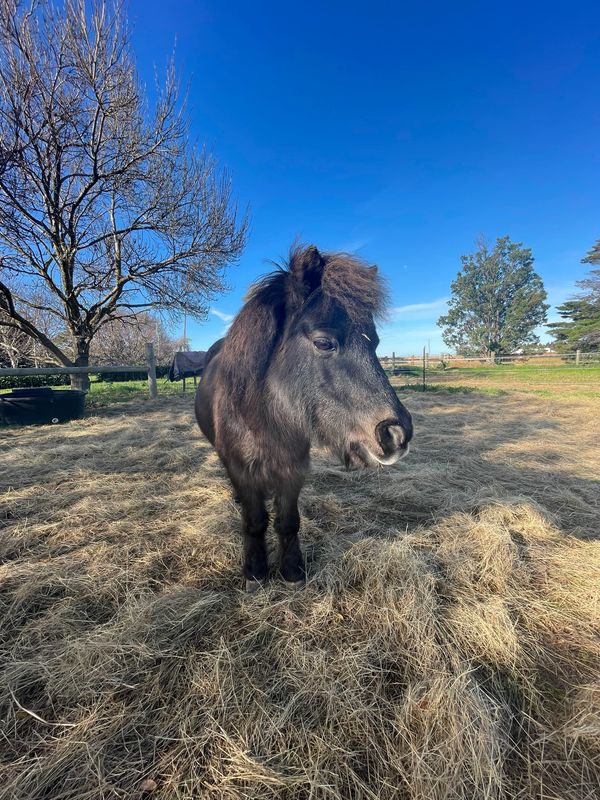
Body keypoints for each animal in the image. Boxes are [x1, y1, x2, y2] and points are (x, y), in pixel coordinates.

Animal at [197, 247, 412, 592]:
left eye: (375, 342)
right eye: (324, 342)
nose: (397, 433)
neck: (265, 418)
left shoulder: (292, 469)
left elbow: (288, 522)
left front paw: (292, 570)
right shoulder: (243, 470)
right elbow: (254, 522)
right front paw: (255, 572)